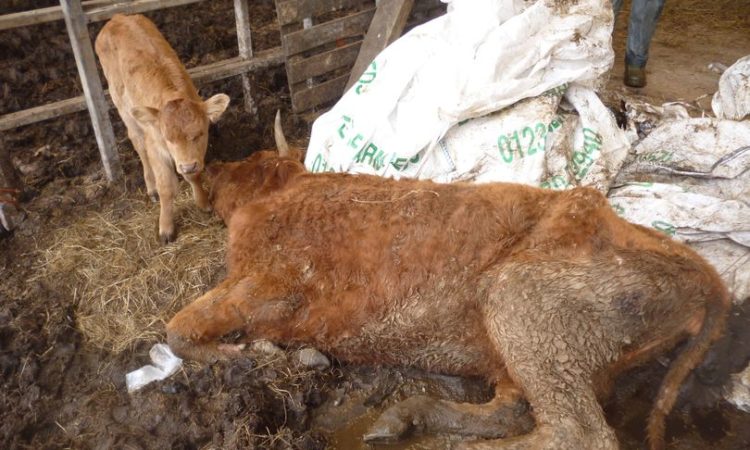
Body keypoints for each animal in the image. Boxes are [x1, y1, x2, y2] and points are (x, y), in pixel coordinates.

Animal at [97, 14, 232, 244]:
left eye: (200, 134)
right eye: (168, 139)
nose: (187, 166)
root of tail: (117, 18)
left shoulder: (193, 157)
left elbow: (194, 176)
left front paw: (203, 203)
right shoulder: (157, 145)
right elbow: (166, 188)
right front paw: (166, 228)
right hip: (122, 105)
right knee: (138, 143)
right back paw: (150, 186)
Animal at [167, 118, 732, 448]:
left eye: (251, 162)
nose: (209, 168)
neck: (281, 196)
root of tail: (705, 276)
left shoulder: (272, 282)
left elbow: (177, 328)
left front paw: (250, 354)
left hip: (519, 302)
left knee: (580, 434)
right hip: (526, 348)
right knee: (514, 411)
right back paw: (403, 418)